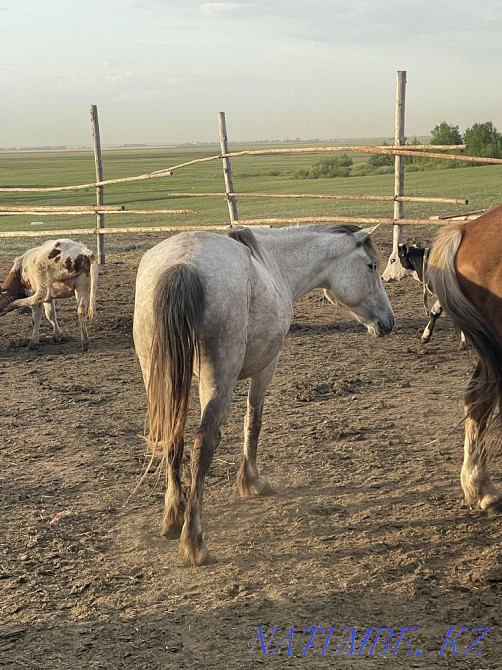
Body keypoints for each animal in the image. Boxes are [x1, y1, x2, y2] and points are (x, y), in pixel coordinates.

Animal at [133, 224, 395, 565]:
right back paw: (193, 540)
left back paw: (174, 515)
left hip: (162, 377)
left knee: (172, 437)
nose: (388, 322)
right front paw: (252, 481)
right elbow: (253, 421)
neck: (274, 263)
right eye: (372, 266)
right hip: (217, 379)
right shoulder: (267, 366)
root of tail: (183, 263)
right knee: (203, 443)